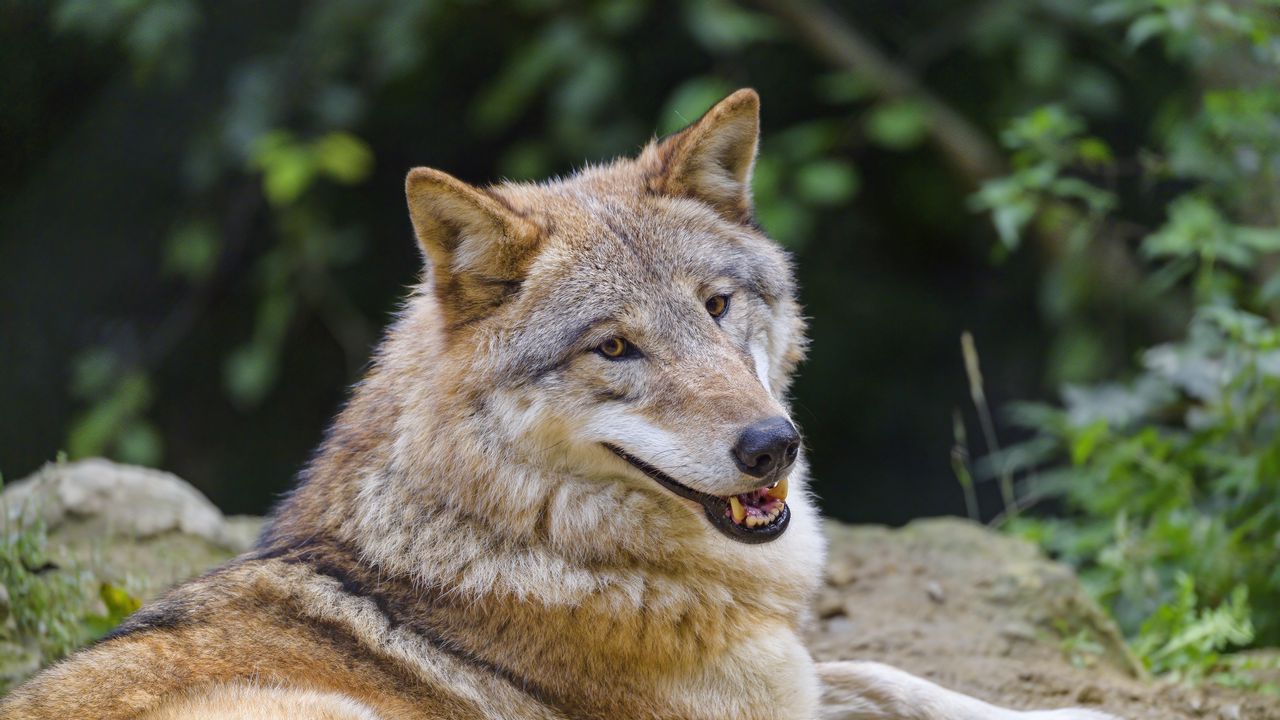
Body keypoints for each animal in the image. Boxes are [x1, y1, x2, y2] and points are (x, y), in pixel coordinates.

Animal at [2, 89, 1118, 720]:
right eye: (614, 347)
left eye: (717, 307)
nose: (773, 447)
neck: (543, 543)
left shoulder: (794, 681)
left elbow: (892, 675)